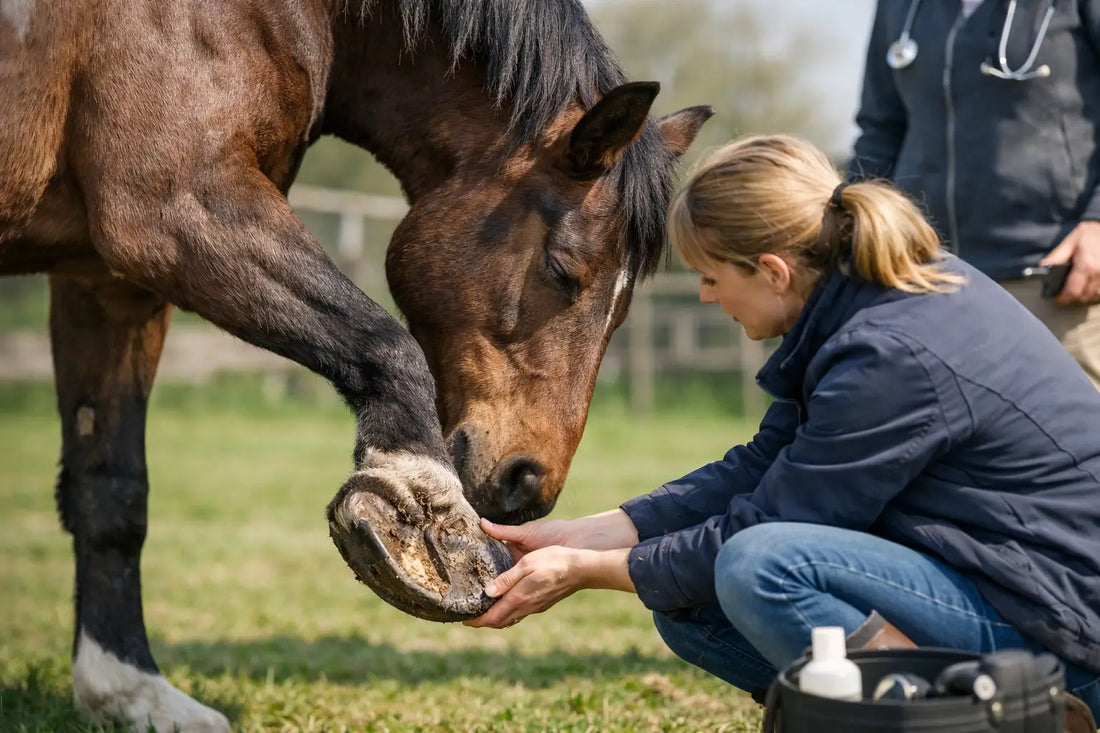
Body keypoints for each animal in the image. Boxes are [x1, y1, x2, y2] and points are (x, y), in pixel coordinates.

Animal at [0, 0, 710, 729]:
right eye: (562, 268)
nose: (527, 484)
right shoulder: (171, 209)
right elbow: (386, 346)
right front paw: (430, 518)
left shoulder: (107, 280)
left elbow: (112, 488)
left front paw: (127, 690)